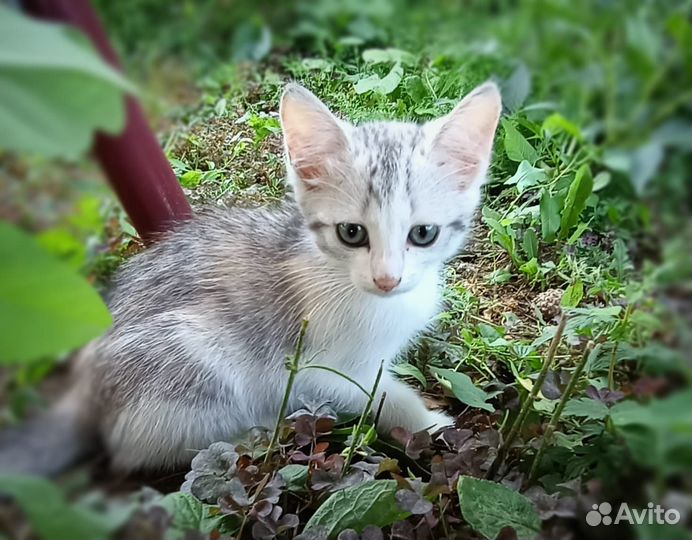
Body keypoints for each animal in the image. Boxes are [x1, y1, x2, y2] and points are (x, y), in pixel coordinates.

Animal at [0, 80, 500, 472]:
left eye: (424, 233)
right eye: (352, 232)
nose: (387, 280)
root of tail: (85, 389)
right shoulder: (315, 370)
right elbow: (382, 395)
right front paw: (428, 423)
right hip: (193, 353)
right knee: (132, 454)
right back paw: (253, 437)